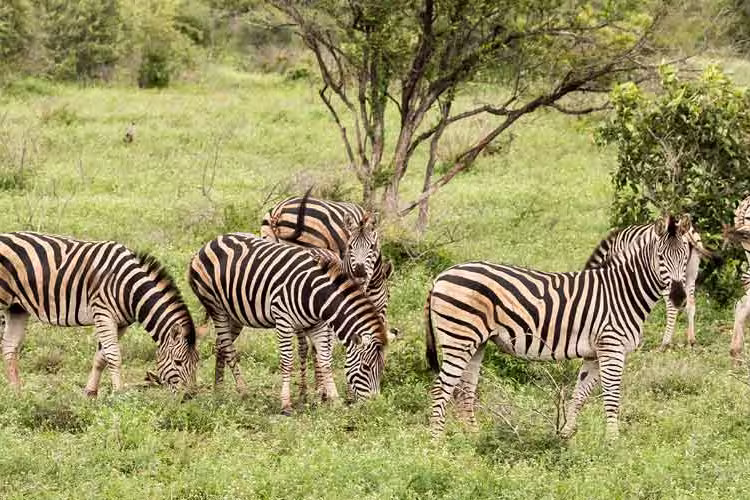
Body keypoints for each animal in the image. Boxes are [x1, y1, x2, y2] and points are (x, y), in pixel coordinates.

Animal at [0, 231, 199, 395]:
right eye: (178, 362)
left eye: (197, 361)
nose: (189, 396)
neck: (129, 288)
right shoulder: (103, 313)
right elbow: (114, 355)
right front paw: (119, 394)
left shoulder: (121, 323)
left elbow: (101, 357)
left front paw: (90, 393)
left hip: (17, 308)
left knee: (9, 347)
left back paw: (17, 394)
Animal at [187, 232, 393, 414]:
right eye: (366, 367)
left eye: (382, 368)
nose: (375, 405)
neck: (318, 297)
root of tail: (210, 243)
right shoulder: (283, 319)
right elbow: (287, 361)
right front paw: (286, 404)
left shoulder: (316, 325)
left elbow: (325, 360)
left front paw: (334, 400)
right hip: (216, 307)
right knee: (229, 349)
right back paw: (243, 391)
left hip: (236, 312)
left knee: (220, 345)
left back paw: (219, 389)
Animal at [425, 215, 691, 438]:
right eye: (660, 257)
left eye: (686, 256)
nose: (679, 297)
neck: (623, 291)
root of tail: (440, 276)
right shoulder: (611, 347)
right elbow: (612, 397)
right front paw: (613, 442)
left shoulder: (594, 353)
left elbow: (580, 395)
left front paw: (565, 436)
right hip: (459, 337)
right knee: (441, 388)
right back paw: (438, 444)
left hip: (475, 342)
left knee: (465, 390)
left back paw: (473, 437)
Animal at [584, 221, 708, 350]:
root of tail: (687, 233)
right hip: (691, 274)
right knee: (691, 305)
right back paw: (691, 340)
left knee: (672, 307)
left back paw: (665, 343)